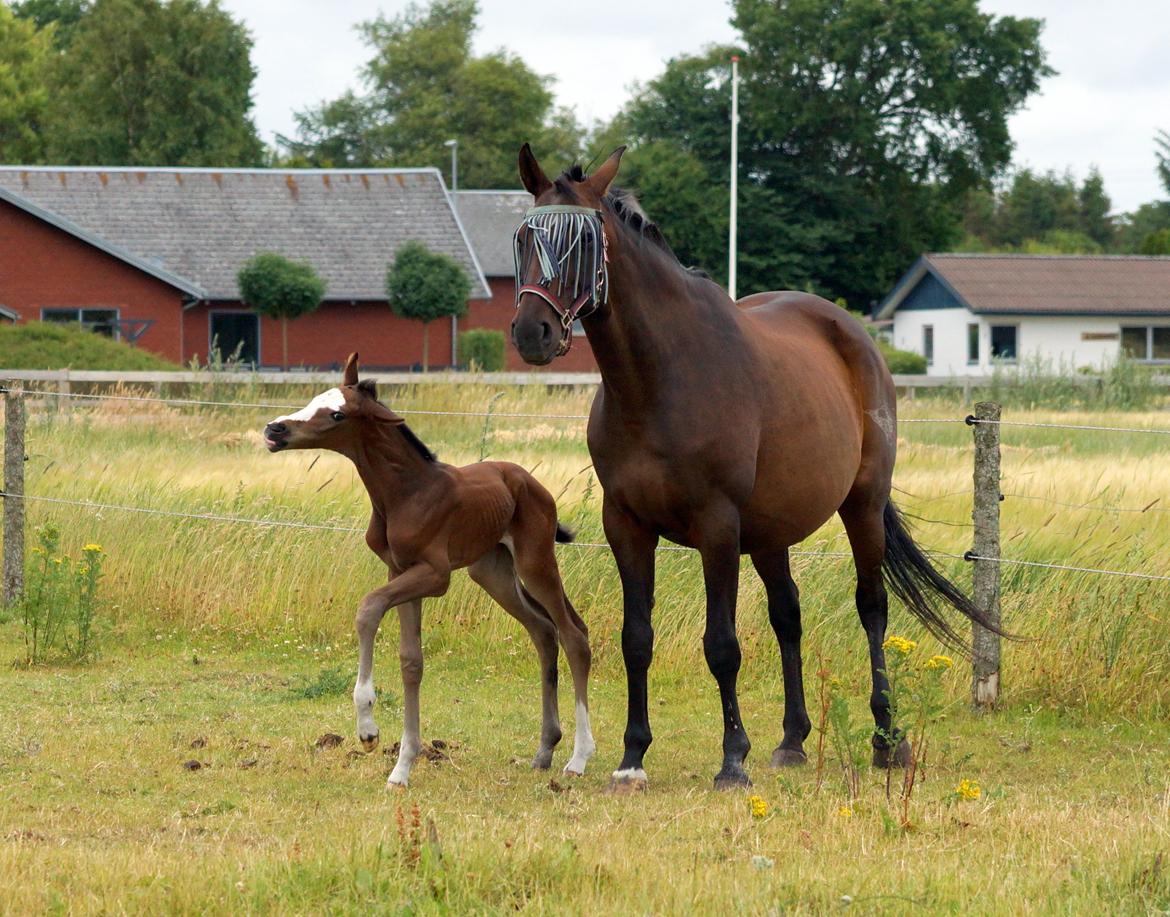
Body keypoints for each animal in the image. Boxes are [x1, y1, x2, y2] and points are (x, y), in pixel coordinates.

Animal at [264, 355, 594, 785]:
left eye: (337, 414)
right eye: (315, 398)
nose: (274, 429)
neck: (406, 493)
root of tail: (532, 483)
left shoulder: (435, 576)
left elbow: (368, 608)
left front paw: (368, 729)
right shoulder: (400, 571)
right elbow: (412, 662)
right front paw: (402, 766)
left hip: (535, 560)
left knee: (574, 635)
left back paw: (579, 757)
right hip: (491, 572)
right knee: (543, 631)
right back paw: (544, 750)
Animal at [512, 143, 996, 785]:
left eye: (585, 243)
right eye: (523, 237)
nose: (532, 333)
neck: (659, 381)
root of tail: (855, 336)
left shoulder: (717, 527)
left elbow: (722, 645)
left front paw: (732, 760)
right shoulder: (627, 526)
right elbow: (636, 637)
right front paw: (633, 757)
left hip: (860, 506)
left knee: (873, 608)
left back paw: (886, 740)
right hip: (770, 532)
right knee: (787, 614)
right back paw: (792, 740)